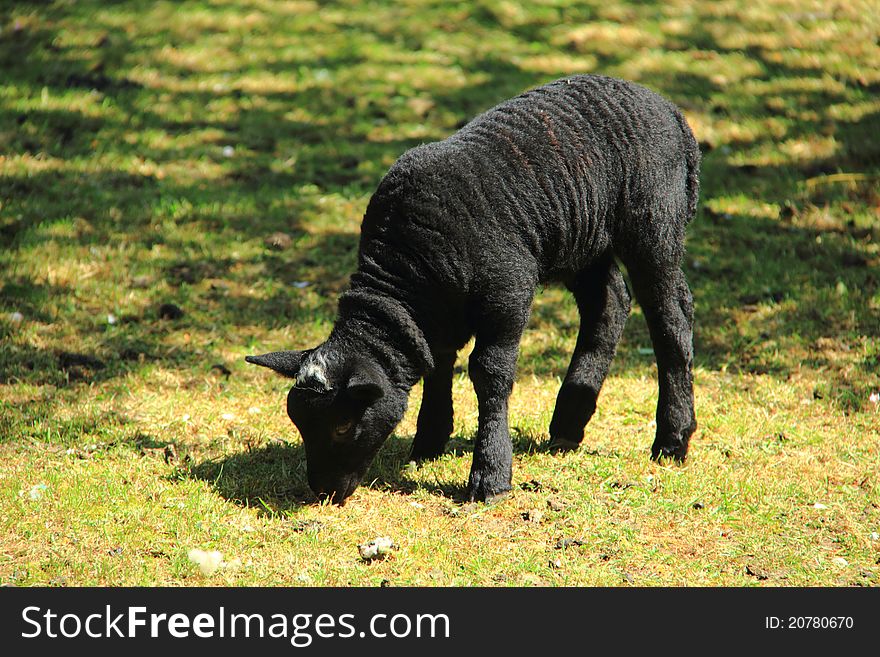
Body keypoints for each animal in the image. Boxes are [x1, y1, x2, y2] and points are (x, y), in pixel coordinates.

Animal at [248, 75, 700, 502]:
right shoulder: (436, 313)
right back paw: (569, 423)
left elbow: (488, 374)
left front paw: (491, 476)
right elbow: (437, 362)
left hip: (653, 223)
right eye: (298, 422)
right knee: (608, 304)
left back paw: (672, 438)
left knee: (670, 320)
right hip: (583, 239)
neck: (409, 269)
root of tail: (667, 108)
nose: (323, 490)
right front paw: (428, 443)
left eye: (343, 424)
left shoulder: (508, 292)